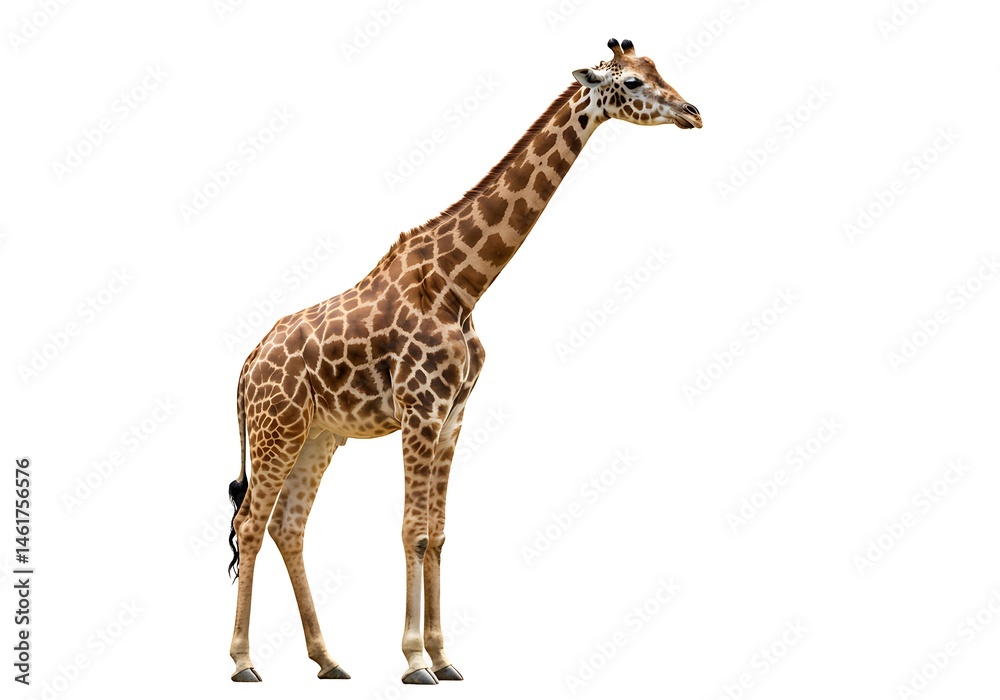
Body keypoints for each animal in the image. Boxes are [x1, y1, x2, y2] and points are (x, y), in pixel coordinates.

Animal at [227, 37, 701, 684]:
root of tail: (247, 366)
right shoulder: (420, 409)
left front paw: (443, 655)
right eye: (630, 82)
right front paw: (412, 660)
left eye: (656, 70)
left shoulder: (452, 415)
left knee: (288, 524)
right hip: (276, 428)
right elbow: (411, 530)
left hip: (318, 434)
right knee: (250, 523)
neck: (462, 286)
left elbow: (439, 533)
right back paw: (243, 661)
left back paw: (328, 659)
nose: (693, 113)